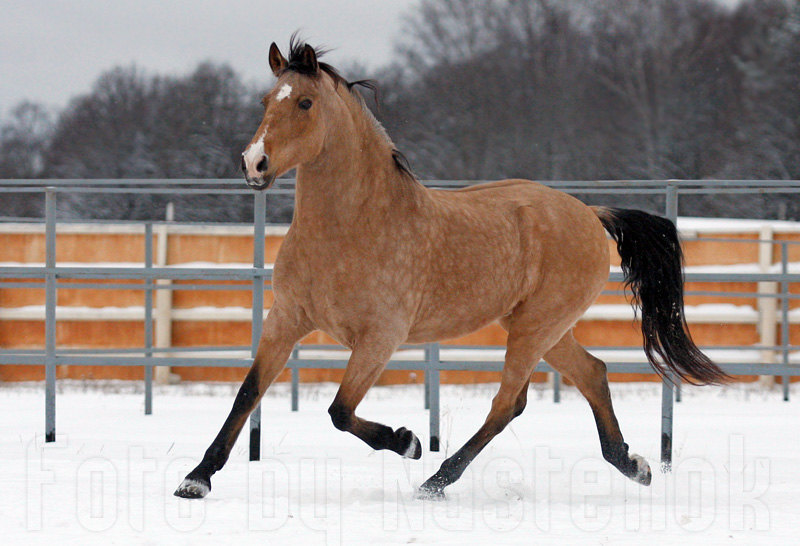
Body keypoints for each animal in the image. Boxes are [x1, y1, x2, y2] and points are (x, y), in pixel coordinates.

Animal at [173, 37, 724, 498]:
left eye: (305, 103)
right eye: (266, 101)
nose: (254, 163)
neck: (349, 229)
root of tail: (591, 213)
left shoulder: (380, 338)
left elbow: (339, 410)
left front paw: (408, 440)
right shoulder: (286, 319)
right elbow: (247, 392)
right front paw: (196, 479)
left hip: (536, 327)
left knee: (508, 403)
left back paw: (435, 480)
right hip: (540, 327)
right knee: (592, 373)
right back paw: (634, 465)